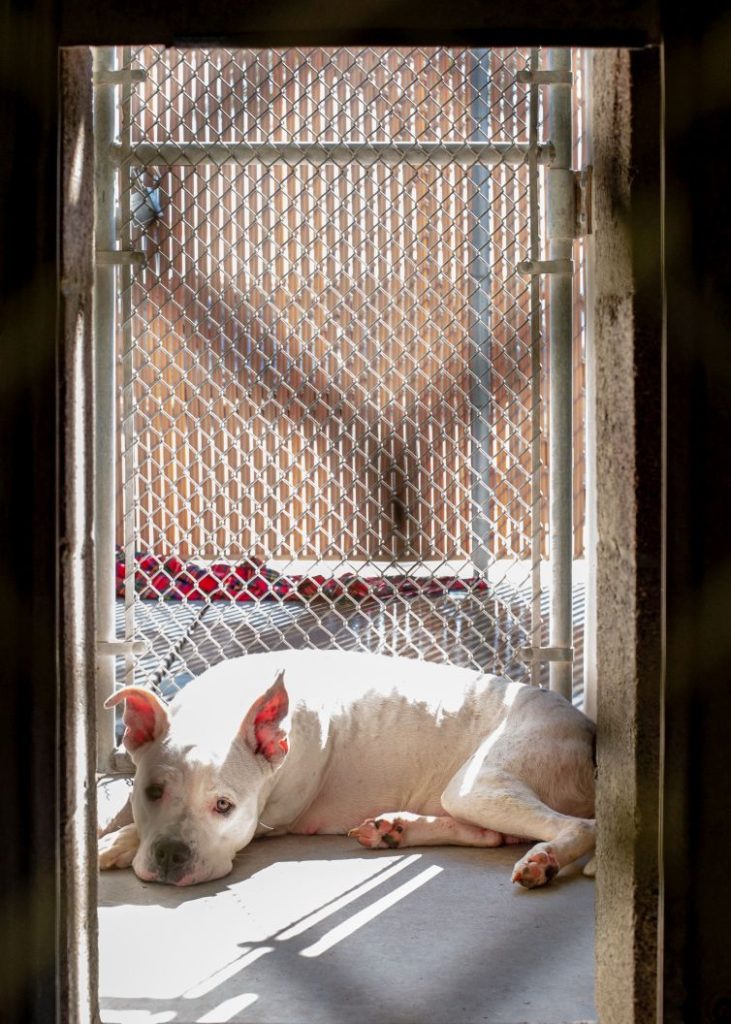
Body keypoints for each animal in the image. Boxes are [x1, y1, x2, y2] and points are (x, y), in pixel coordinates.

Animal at [96, 651, 593, 884]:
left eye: (224, 806)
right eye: (152, 792)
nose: (171, 856)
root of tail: (588, 727)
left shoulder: (270, 820)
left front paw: (116, 844)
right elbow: (123, 815)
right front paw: (112, 835)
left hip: (478, 785)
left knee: (581, 826)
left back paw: (544, 861)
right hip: (467, 794)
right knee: (491, 835)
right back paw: (395, 829)